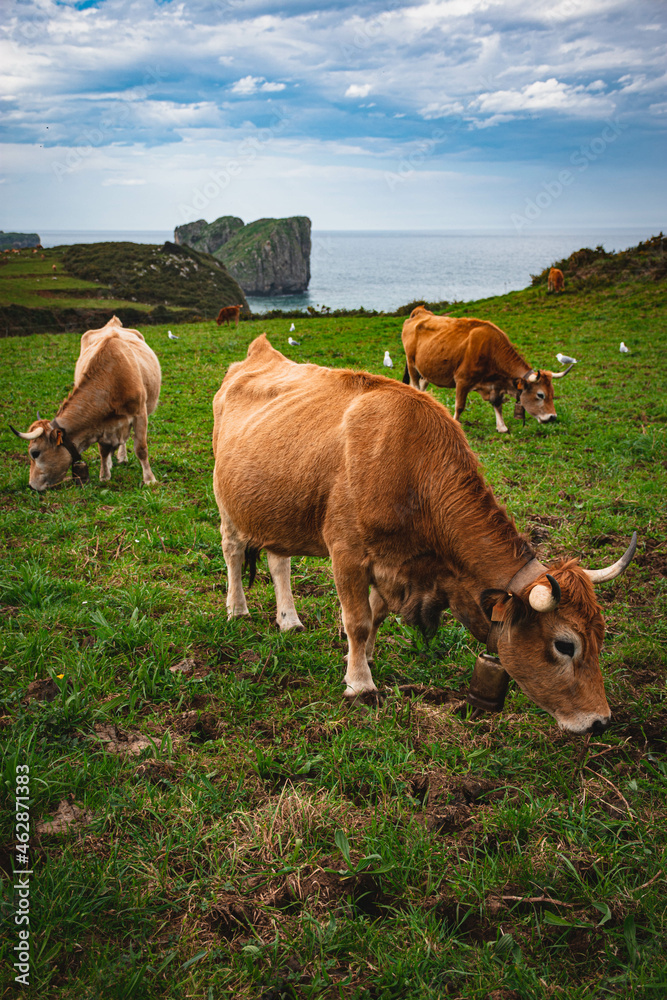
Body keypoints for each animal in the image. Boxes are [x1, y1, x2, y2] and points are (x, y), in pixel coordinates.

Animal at [10, 316, 161, 490]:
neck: (111, 378)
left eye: (34, 453)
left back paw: (122, 456)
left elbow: (141, 449)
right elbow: (103, 450)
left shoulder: (140, 414)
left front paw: (150, 479)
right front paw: (104, 476)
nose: (31, 485)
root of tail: (112, 324)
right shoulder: (101, 424)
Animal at [212, 334, 636, 734]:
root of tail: (259, 353)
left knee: (278, 560)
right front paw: (359, 683)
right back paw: (237, 609)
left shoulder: (395, 564)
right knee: (232, 551)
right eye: (565, 644)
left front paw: (363, 657)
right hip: (225, 498)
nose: (599, 721)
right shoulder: (347, 553)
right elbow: (357, 620)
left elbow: (376, 615)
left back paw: (288, 619)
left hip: (275, 506)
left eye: (601, 636)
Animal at [401, 307, 573, 433]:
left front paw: (502, 426)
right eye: (540, 395)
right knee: (414, 385)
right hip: (412, 364)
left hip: (426, 370)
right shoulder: (462, 380)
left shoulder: (495, 385)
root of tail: (420, 311)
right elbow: (460, 406)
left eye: (552, 393)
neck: (491, 349)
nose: (552, 417)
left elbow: (497, 403)